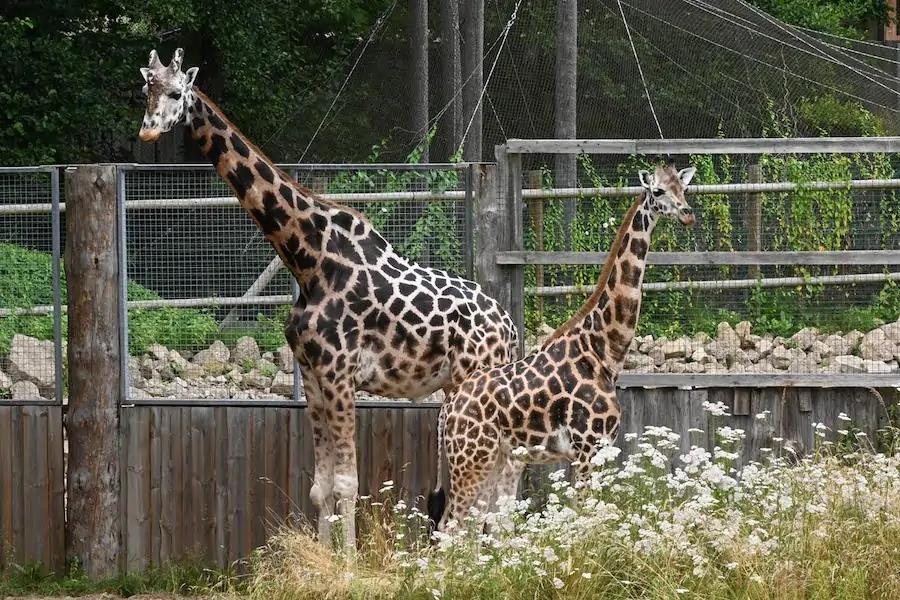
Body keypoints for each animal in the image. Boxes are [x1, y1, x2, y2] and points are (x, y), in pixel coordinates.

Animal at [137, 50, 516, 548]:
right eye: (146, 90)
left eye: (177, 92)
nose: (147, 131)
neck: (307, 259)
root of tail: (510, 328)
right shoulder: (315, 379)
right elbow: (320, 486)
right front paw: (324, 554)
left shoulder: (340, 375)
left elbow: (348, 483)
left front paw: (351, 560)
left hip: (474, 387)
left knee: (489, 493)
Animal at [428, 162, 696, 528]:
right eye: (657, 191)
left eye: (683, 189)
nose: (687, 214)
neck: (604, 351)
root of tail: (447, 409)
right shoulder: (587, 448)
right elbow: (584, 519)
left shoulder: (598, 450)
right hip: (471, 459)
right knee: (451, 526)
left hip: (493, 458)